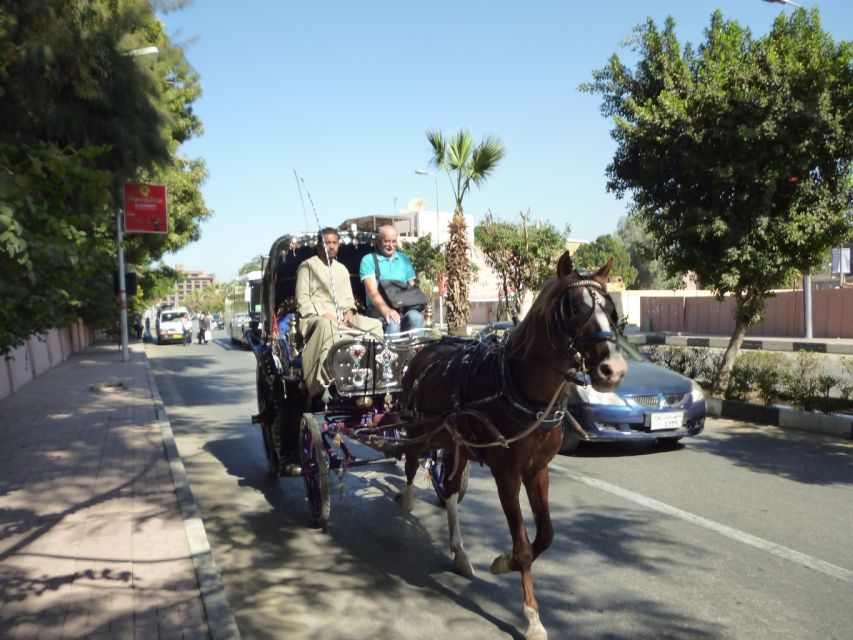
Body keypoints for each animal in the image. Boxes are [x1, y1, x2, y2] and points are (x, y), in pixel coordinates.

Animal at [396, 254, 628, 640]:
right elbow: (522, 546)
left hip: (456, 445)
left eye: (611, 310)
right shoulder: (507, 475)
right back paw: (408, 497)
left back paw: (459, 552)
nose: (614, 370)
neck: (521, 388)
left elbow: (545, 536)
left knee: (450, 490)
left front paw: (501, 564)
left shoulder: (538, 471)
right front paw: (531, 615)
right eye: (575, 308)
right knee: (412, 463)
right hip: (419, 428)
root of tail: (427, 347)